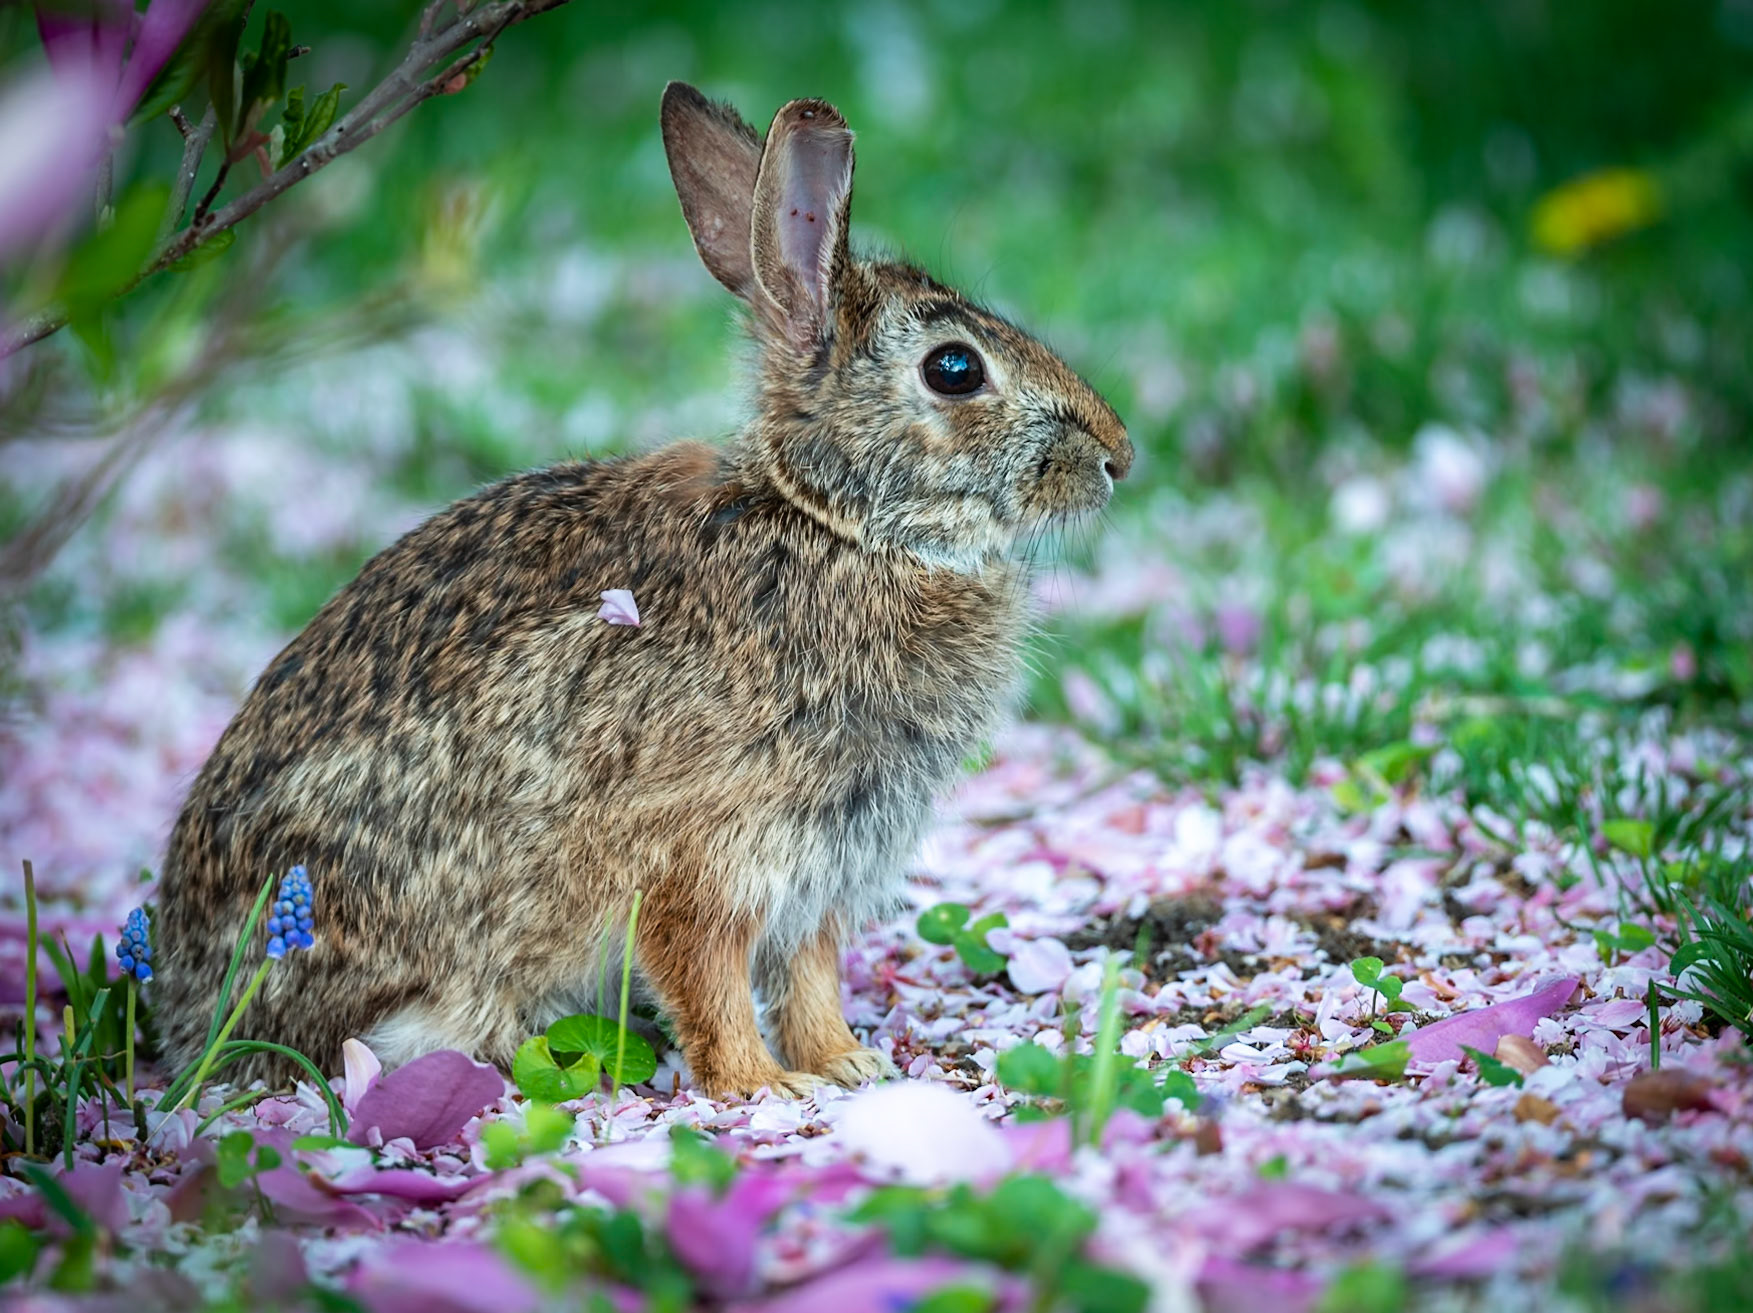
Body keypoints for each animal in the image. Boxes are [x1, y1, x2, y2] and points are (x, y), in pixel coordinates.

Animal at [152, 82, 1132, 1099]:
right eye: (954, 368)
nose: (1118, 456)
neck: (834, 524)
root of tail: (185, 1013)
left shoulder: (821, 869)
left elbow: (810, 972)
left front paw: (845, 1064)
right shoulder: (701, 852)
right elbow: (707, 972)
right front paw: (761, 1085)